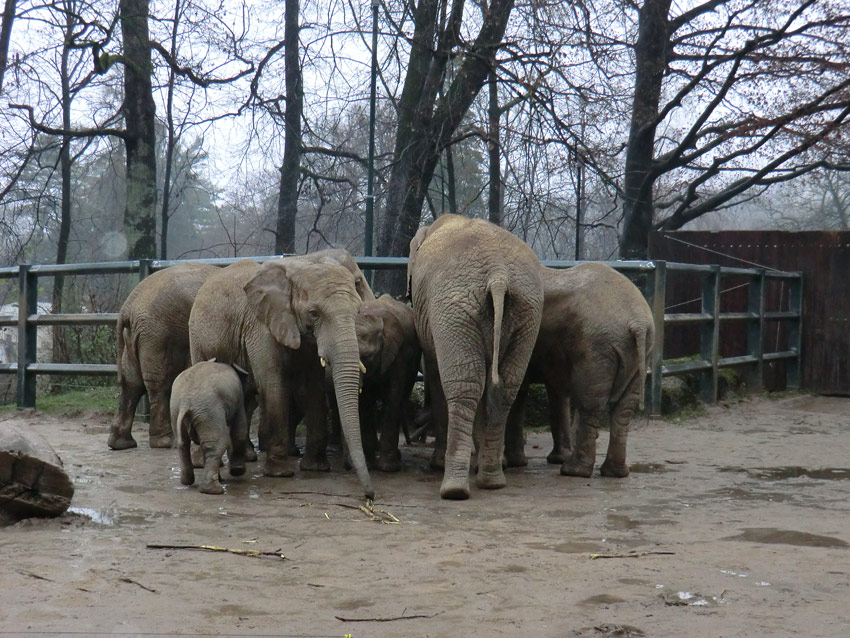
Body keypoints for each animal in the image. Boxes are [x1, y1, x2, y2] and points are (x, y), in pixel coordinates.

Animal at [168, 360, 248, 496]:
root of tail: (185, 401)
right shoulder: (239, 398)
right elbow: (240, 430)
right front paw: (237, 471)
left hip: (177, 410)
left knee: (183, 444)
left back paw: (187, 481)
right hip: (209, 411)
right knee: (218, 443)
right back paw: (214, 490)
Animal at [189, 251, 374, 504]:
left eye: (357, 311)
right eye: (314, 313)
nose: (369, 495)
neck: (304, 262)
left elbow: (314, 388)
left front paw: (315, 468)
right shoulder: (261, 326)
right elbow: (274, 385)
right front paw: (279, 473)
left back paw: (243, 460)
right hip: (197, 335)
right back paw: (203, 463)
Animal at [406, 218, 544, 502]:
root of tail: (498, 275)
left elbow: (435, 374)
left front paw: (436, 465)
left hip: (455, 311)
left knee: (463, 387)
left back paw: (454, 489)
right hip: (527, 312)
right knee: (505, 389)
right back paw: (492, 480)